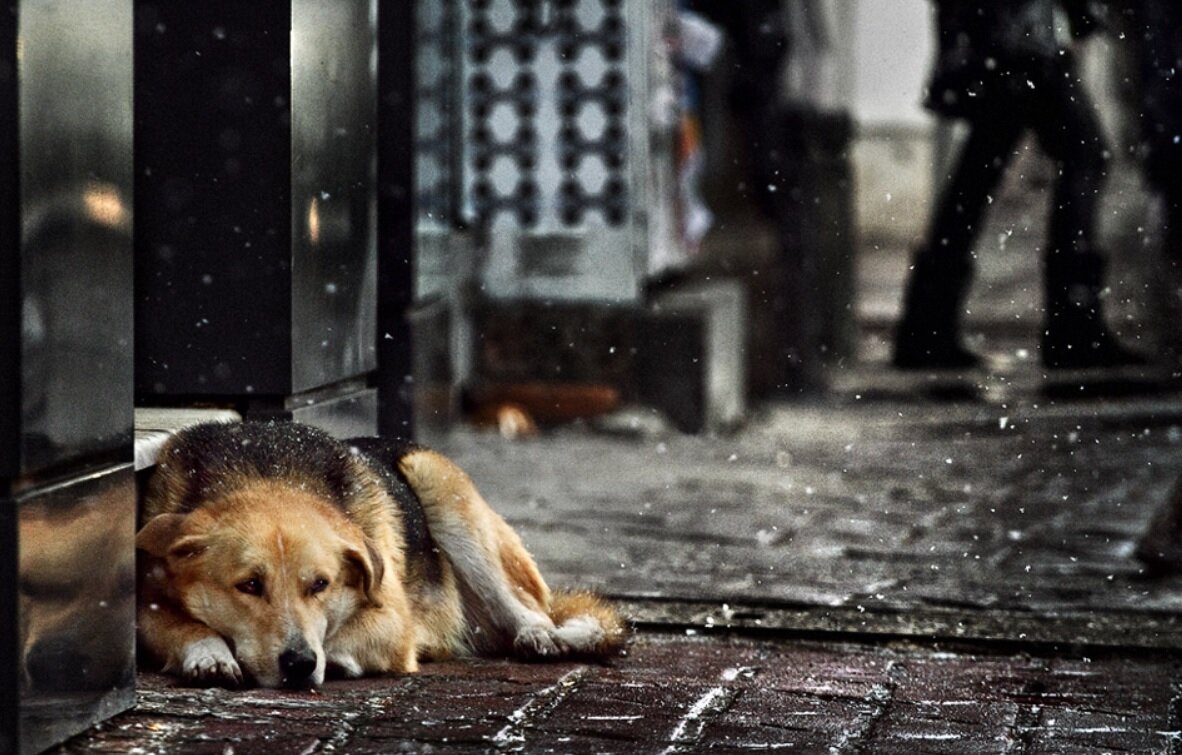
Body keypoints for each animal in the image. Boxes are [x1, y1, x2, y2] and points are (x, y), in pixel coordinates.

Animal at [137, 422, 628, 690]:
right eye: (250, 585)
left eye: (320, 584)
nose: (299, 664)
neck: (266, 474)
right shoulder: (145, 606)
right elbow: (182, 625)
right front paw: (209, 654)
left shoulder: (393, 621)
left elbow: (350, 637)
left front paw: (333, 658)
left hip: (439, 485)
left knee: (528, 610)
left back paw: (537, 634)